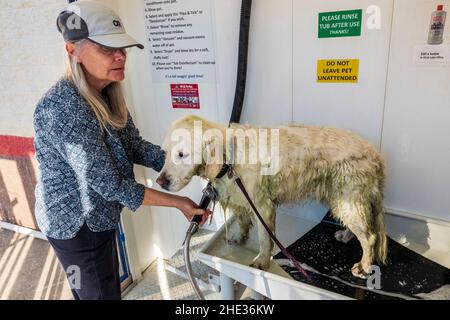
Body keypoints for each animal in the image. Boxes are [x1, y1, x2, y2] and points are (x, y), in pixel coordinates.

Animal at [157, 115, 386, 278]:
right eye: (165, 152)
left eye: (181, 154)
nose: (160, 182)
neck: (230, 159)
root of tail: (375, 153)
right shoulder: (241, 198)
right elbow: (242, 221)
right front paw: (238, 237)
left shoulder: (262, 206)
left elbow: (264, 239)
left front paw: (262, 261)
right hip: (345, 198)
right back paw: (346, 236)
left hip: (348, 197)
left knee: (370, 236)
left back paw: (364, 265)